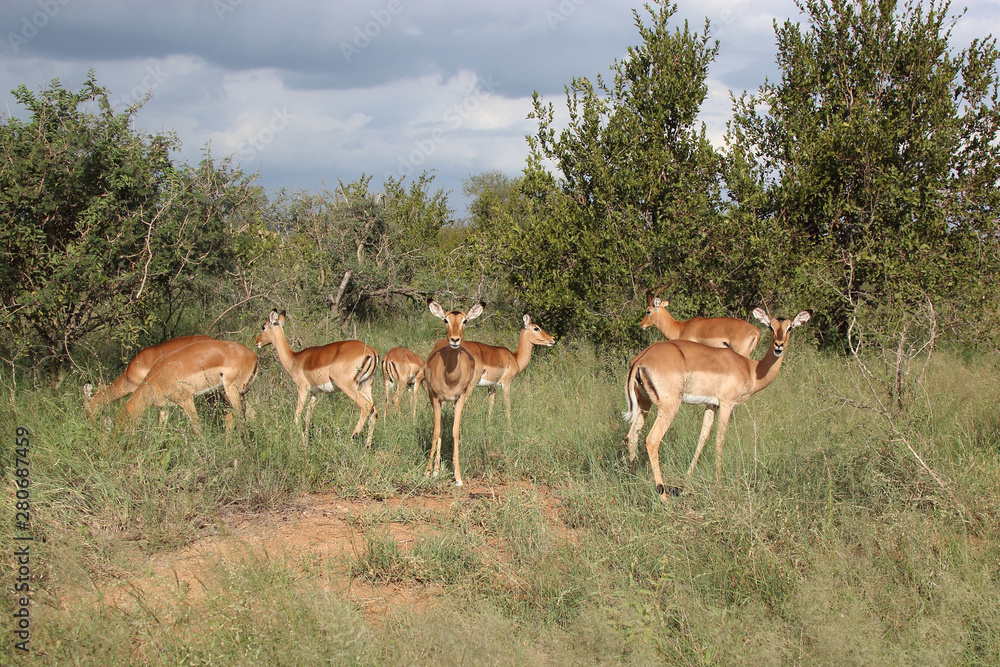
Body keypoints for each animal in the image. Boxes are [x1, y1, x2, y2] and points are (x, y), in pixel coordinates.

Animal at [117, 338, 259, 435]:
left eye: (124, 425)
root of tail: (253, 355)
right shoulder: (164, 408)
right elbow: (160, 431)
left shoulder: (186, 400)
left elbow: (198, 430)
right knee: (251, 415)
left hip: (231, 391)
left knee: (240, 419)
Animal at [256, 310, 378, 446]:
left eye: (263, 327)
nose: (257, 342)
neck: (295, 358)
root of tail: (371, 351)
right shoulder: (316, 392)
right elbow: (307, 417)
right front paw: (306, 442)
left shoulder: (302, 388)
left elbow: (297, 416)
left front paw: (301, 443)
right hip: (365, 385)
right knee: (374, 410)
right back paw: (367, 446)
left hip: (348, 386)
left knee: (366, 406)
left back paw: (351, 440)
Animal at [423, 299, 485, 486]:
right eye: (446, 320)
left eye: (465, 320)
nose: (455, 340)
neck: (450, 377)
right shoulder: (436, 397)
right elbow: (436, 431)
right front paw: (427, 472)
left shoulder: (460, 398)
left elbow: (455, 431)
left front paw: (458, 477)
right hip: (435, 399)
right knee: (440, 428)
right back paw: (435, 470)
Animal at [624, 308, 811, 501]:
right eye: (771, 327)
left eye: (790, 327)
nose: (778, 346)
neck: (751, 369)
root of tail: (641, 360)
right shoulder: (727, 404)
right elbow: (720, 438)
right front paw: (719, 481)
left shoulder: (711, 405)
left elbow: (703, 437)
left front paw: (689, 475)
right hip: (669, 408)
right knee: (652, 440)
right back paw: (664, 496)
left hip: (645, 404)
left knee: (632, 436)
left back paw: (633, 481)